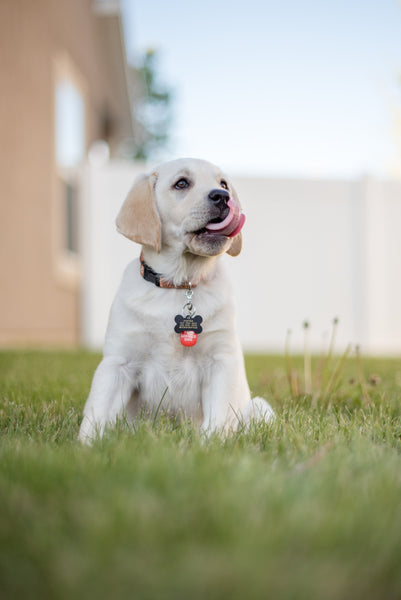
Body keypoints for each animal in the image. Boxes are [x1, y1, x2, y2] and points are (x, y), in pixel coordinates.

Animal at [79, 157, 276, 442]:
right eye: (181, 183)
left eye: (223, 184)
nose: (223, 197)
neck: (180, 284)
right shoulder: (118, 363)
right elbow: (97, 413)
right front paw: (86, 446)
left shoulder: (221, 360)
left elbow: (218, 419)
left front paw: (209, 445)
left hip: (261, 407)